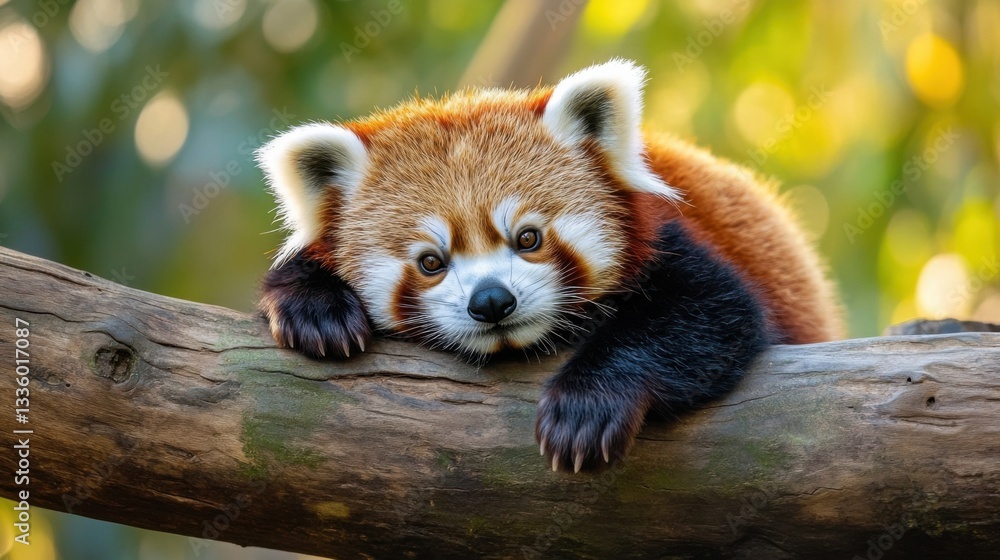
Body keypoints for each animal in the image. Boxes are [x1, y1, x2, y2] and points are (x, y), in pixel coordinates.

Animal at [255, 59, 842, 473]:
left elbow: (714, 314)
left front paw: (585, 409)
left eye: (528, 238)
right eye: (430, 262)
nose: (492, 301)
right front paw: (316, 309)